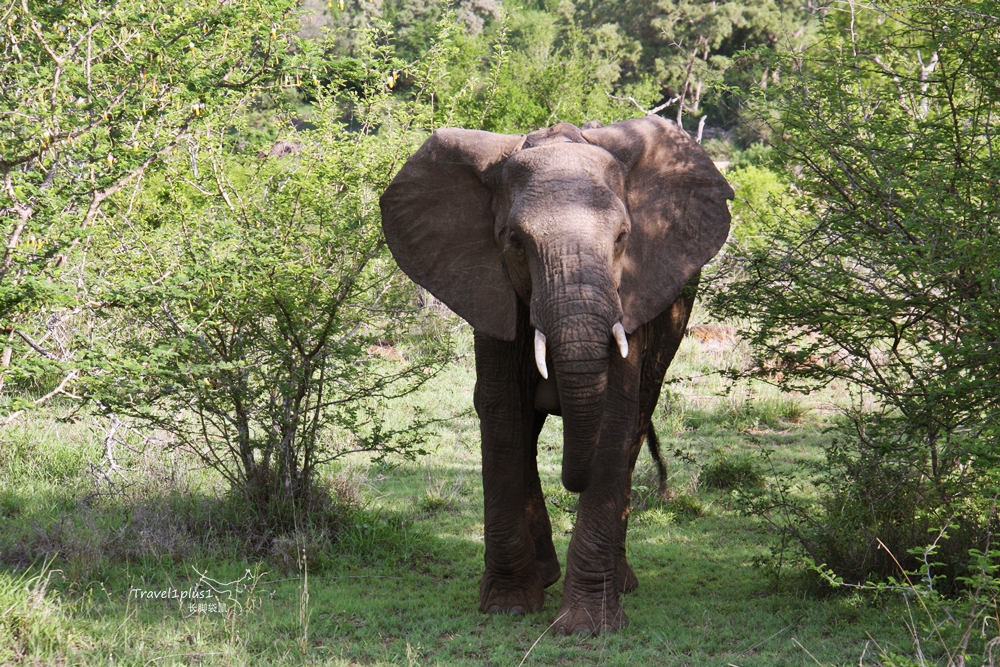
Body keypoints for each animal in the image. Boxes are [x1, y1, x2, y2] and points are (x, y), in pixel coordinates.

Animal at [378, 116, 732, 636]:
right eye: (515, 242)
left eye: (623, 238)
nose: (572, 481)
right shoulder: (491, 290)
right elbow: (503, 413)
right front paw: (509, 606)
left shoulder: (631, 296)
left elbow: (615, 416)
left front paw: (587, 627)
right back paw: (544, 575)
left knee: (637, 420)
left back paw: (620, 581)